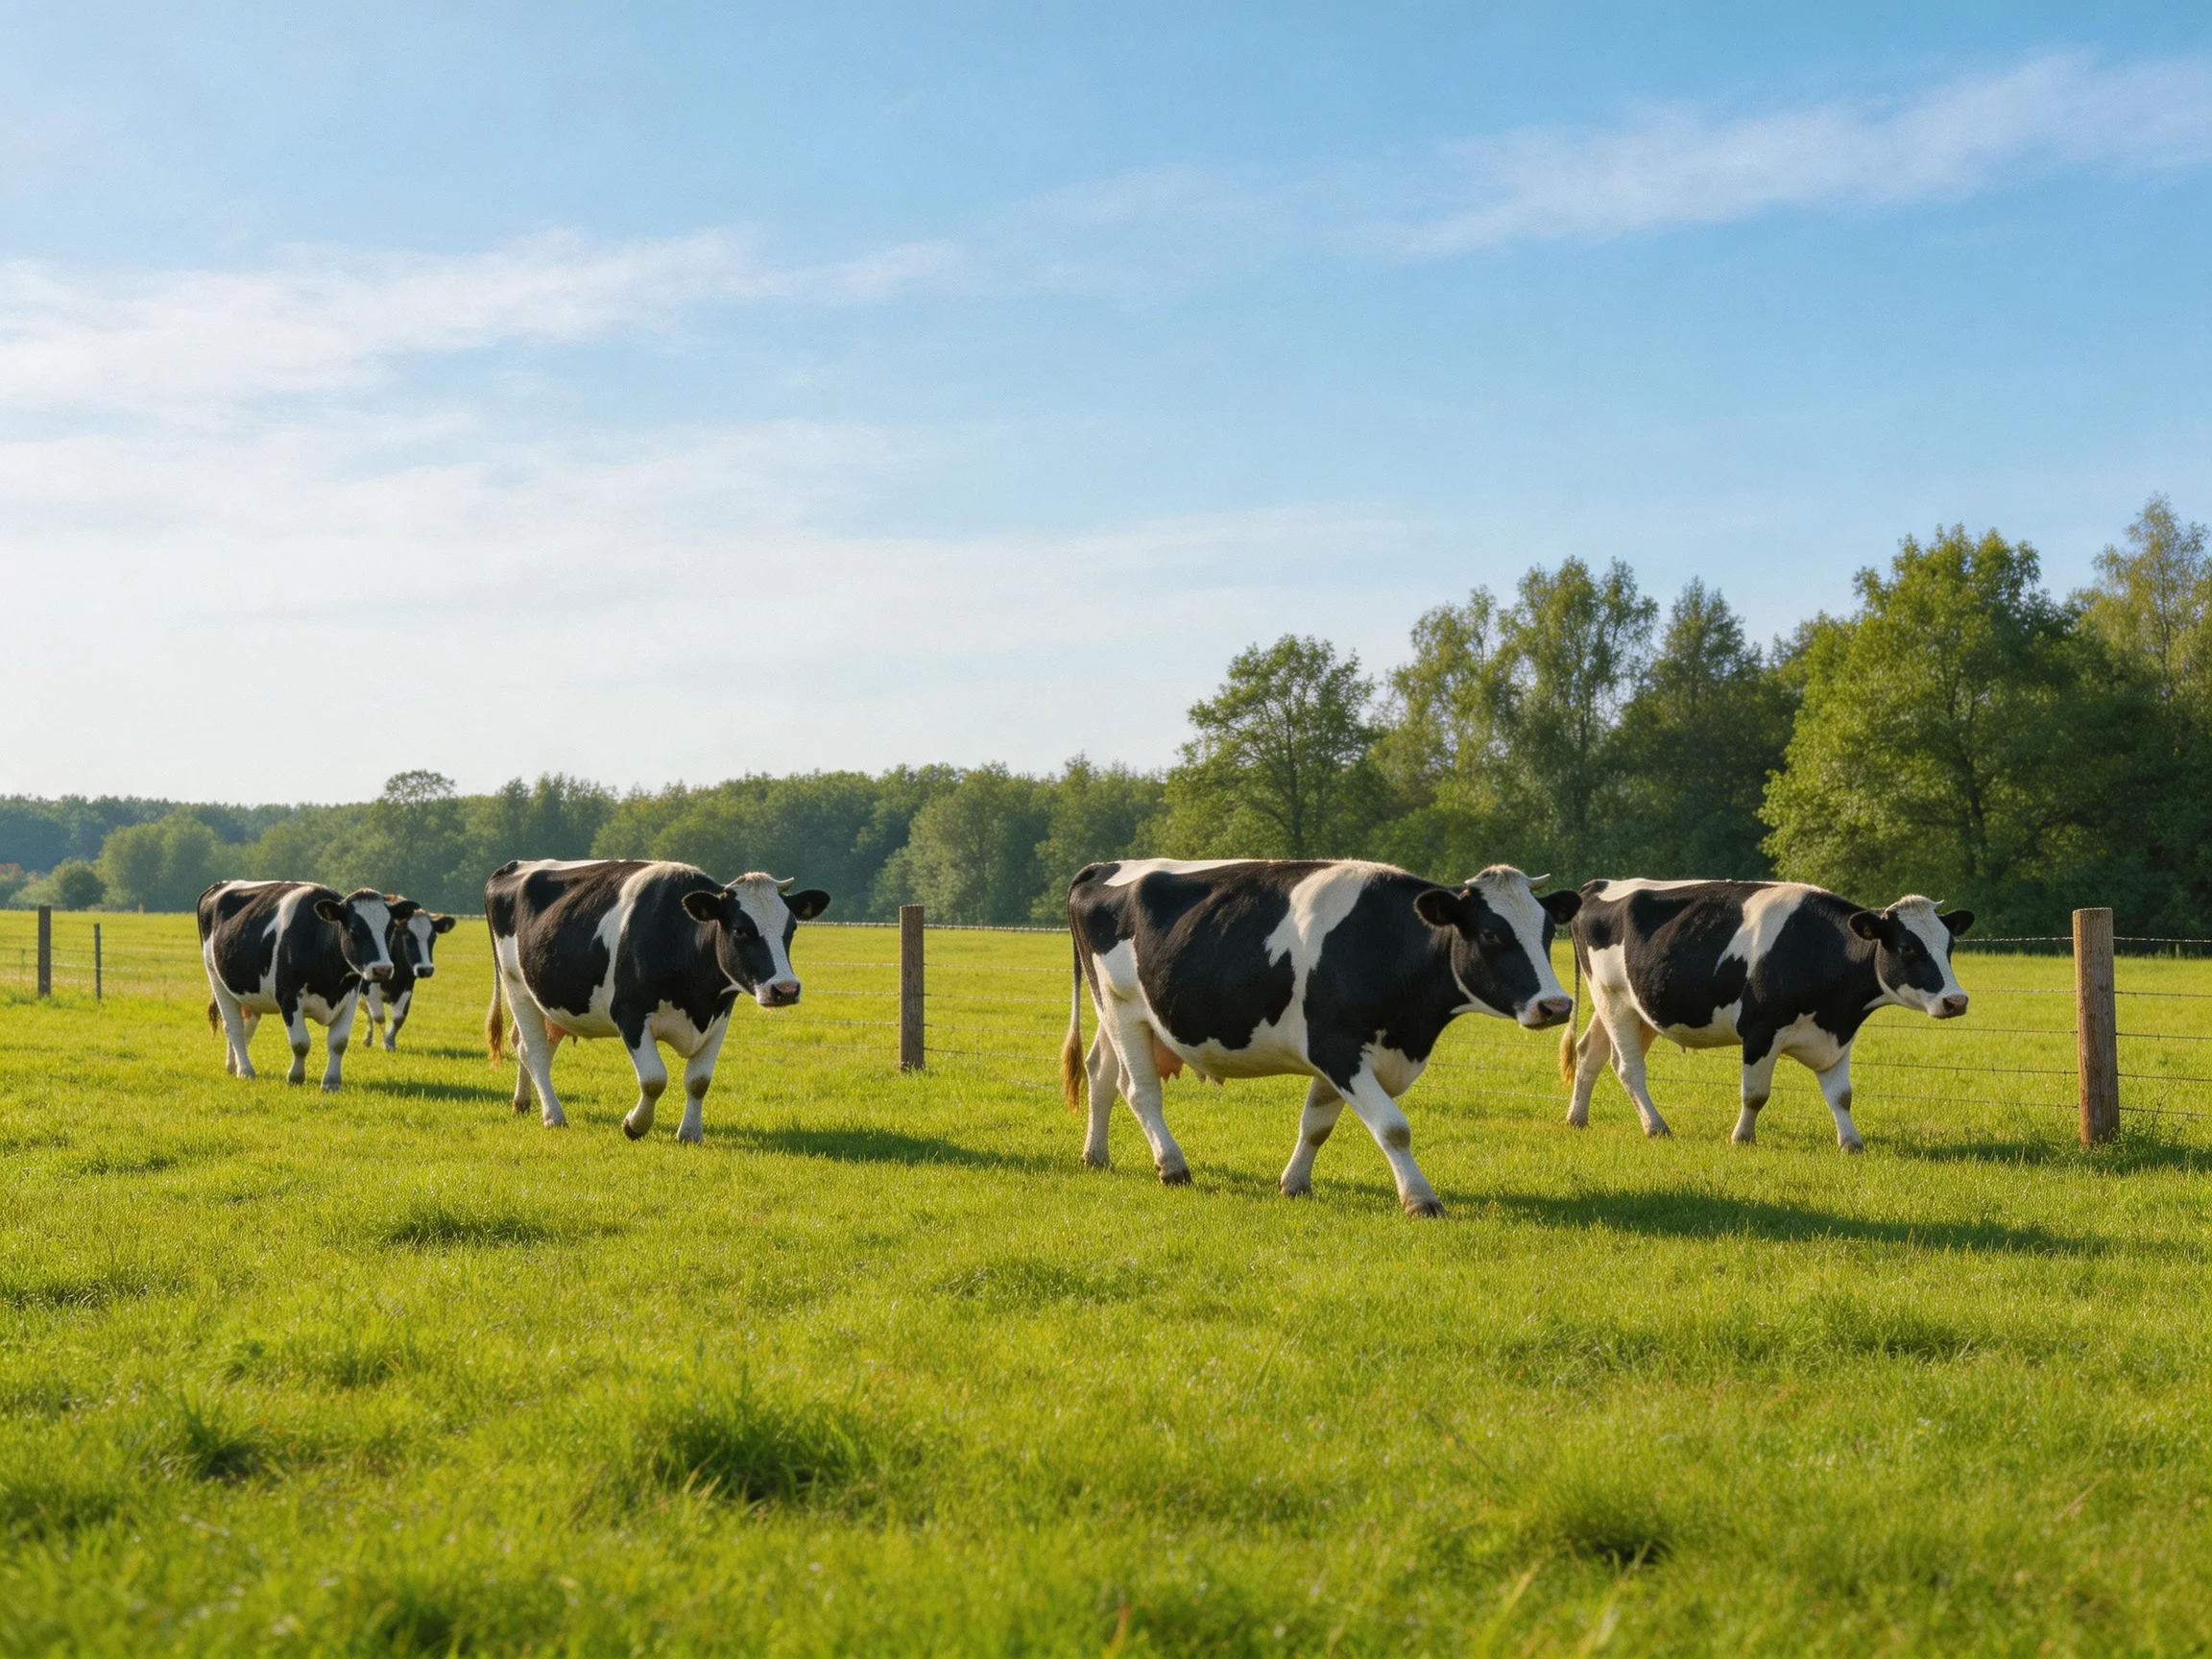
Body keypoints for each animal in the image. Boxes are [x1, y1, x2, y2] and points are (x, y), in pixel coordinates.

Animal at [198, 881, 397, 1089]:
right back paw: (245, 1071)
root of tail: (218, 886)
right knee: (234, 1027)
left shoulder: (350, 996)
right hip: (217, 979)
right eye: (354, 930)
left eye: (390, 930)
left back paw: (233, 1065)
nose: (383, 969)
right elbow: (301, 1043)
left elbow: (339, 1042)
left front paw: (331, 1082)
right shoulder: (288, 997)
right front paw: (295, 1077)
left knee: (247, 1026)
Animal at [360, 897, 457, 1051]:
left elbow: (399, 1017)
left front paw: (390, 1042)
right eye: (407, 937)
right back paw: (368, 1039)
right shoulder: (368, 988)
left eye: (432, 938)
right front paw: (385, 1042)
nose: (426, 969)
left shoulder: (407, 987)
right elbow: (378, 1016)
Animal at [484, 859, 831, 1142]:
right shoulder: (630, 1014)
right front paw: (634, 1126)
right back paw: (553, 1116)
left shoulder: (720, 1016)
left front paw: (690, 1133)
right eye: (740, 930)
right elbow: (654, 1079)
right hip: (518, 987)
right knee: (534, 1052)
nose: (785, 989)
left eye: (791, 929)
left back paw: (523, 1103)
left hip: (552, 1002)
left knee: (526, 1045)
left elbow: (699, 1081)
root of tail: (515, 866)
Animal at [1060, 859, 1580, 1217]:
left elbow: (1316, 1125)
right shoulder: (1338, 1048)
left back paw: (1096, 1156)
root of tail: (1105, 867)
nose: (1557, 1005)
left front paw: (1294, 1184)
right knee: (1139, 1090)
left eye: (1548, 931)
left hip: (1117, 1015)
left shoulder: (1341, 1057)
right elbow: (1393, 1127)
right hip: (1123, 1007)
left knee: (1100, 1075)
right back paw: (1172, 1166)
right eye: (1492, 934)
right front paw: (1421, 1200)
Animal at [1559, 880, 1975, 1152]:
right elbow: (1756, 1094)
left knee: (1590, 1053)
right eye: (1907, 948)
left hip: (1635, 1006)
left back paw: (1577, 1118)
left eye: (1950, 945)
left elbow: (1842, 1096)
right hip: (1614, 1001)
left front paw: (1851, 1143)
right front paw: (1742, 1138)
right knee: (1628, 1068)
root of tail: (1598, 885)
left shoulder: (1837, 1036)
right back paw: (1656, 1127)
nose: (1957, 1000)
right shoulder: (1760, 1031)